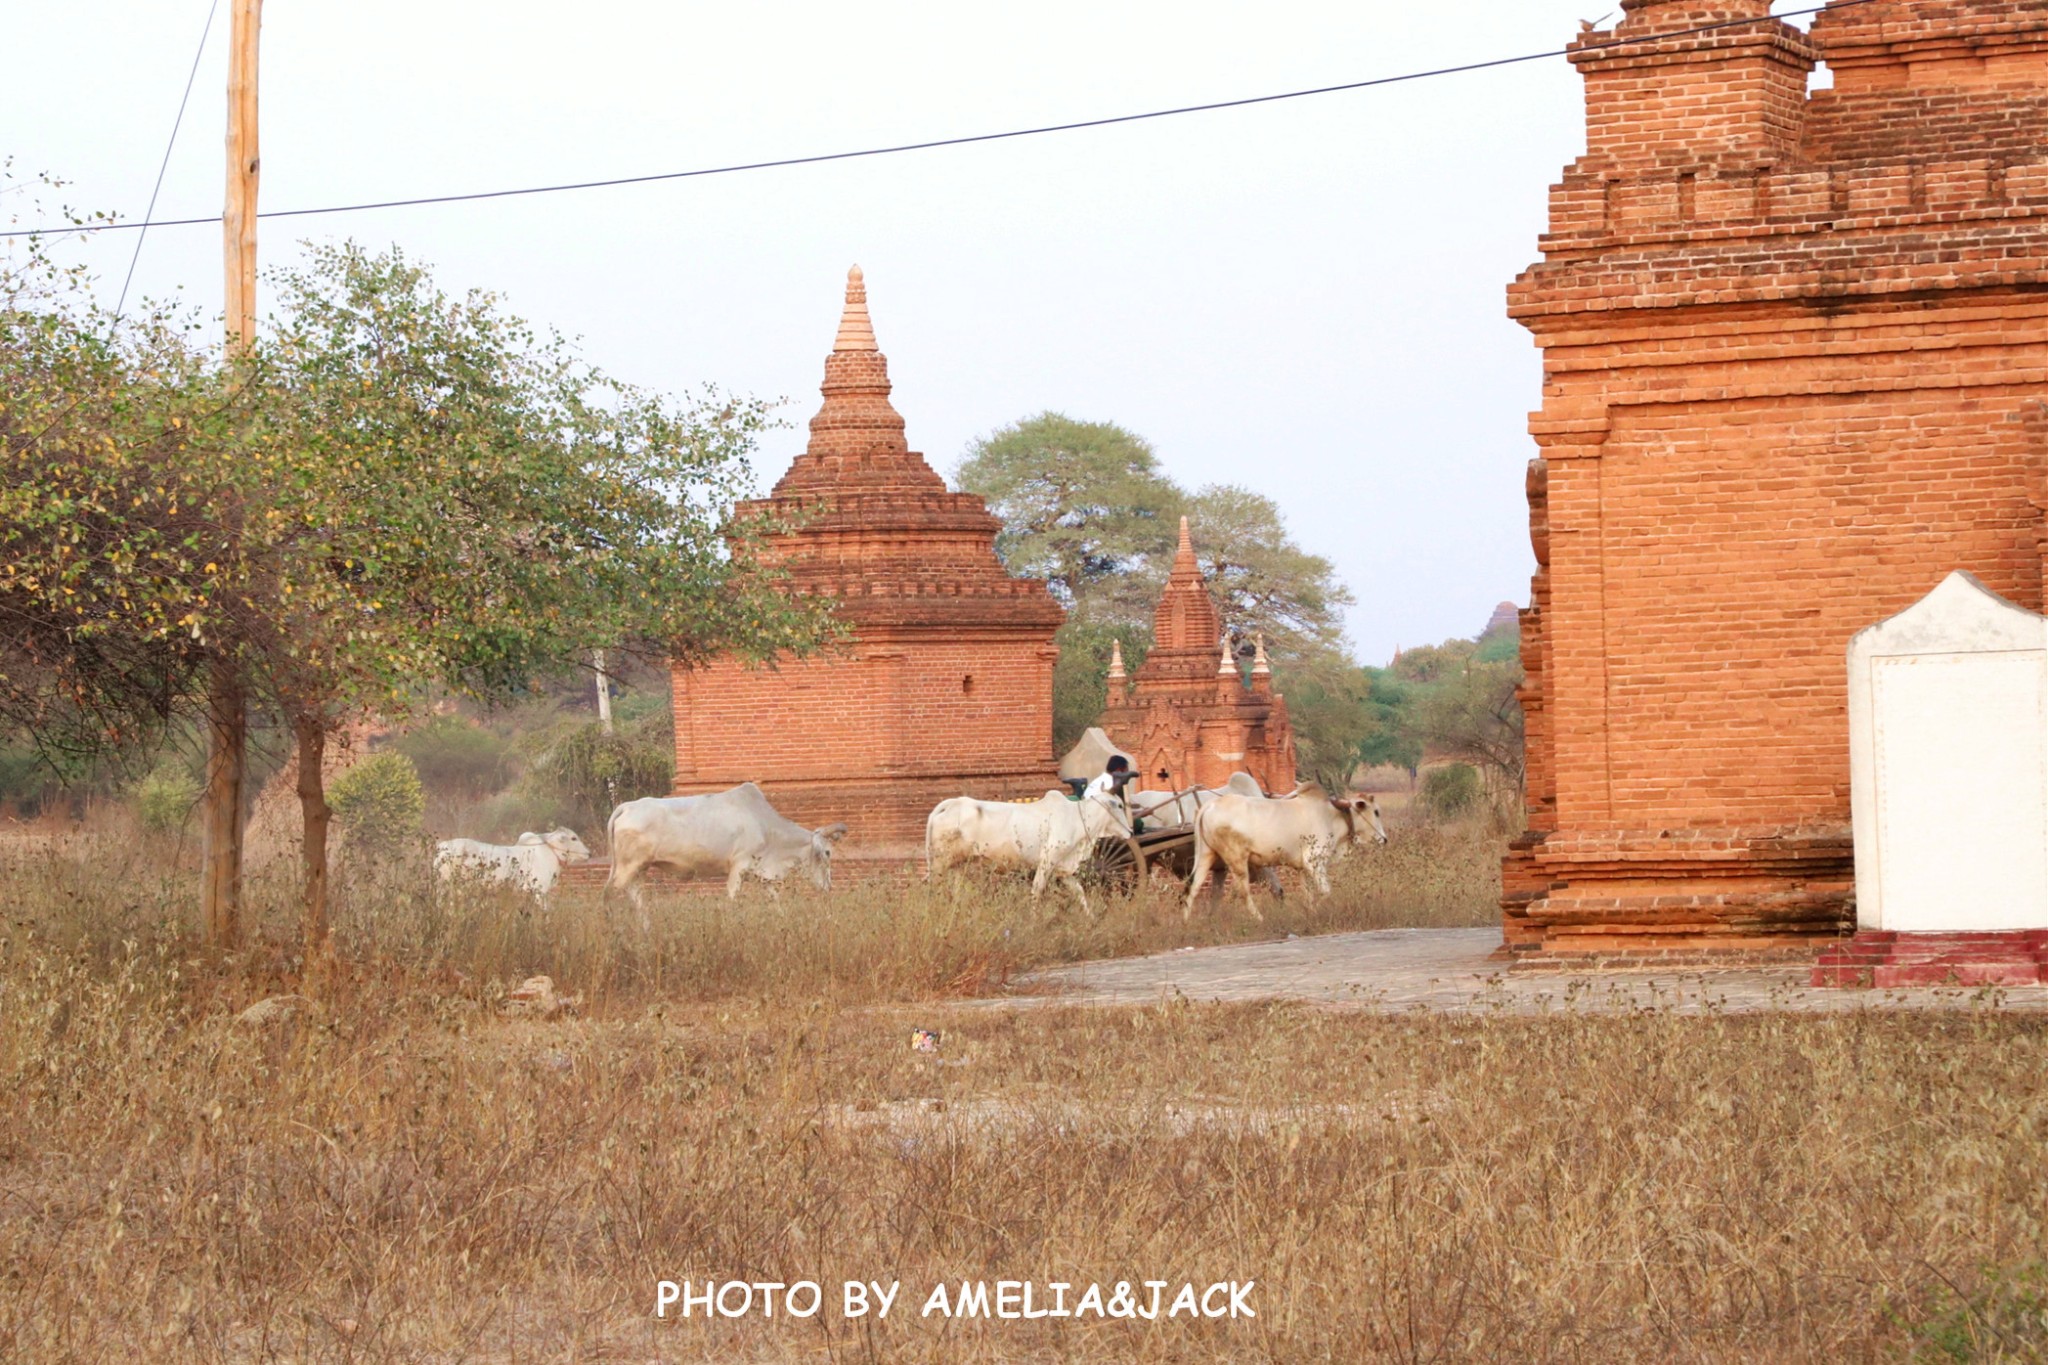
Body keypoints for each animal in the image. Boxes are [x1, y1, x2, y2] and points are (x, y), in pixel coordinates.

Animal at [602, 777, 843, 908]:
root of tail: (626, 806)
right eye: (827, 853)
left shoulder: (762, 875)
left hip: (638, 870)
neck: (766, 826)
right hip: (627, 868)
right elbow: (733, 899)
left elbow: (775, 901)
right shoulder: (738, 868)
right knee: (609, 895)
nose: (828, 887)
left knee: (636, 899)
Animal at [929, 785, 1138, 912]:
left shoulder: (1063, 869)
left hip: (959, 866)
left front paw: (1091, 919)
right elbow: (1037, 891)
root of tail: (953, 803)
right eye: (1120, 805)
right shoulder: (1046, 863)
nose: (1130, 831)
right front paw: (1034, 918)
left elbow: (1079, 892)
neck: (1077, 818)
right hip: (940, 864)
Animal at [1187, 785, 1392, 925]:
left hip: (1207, 856)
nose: (1384, 839)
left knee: (1193, 888)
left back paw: (1186, 922)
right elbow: (1325, 892)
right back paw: (1259, 918)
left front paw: (1310, 912)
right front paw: (1317, 910)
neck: (1333, 815)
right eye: (1376, 811)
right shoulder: (1314, 862)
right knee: (1243, 891)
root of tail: (1209, 806)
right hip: (1237, 860)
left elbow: (1308, 894)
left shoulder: (1302, 868)